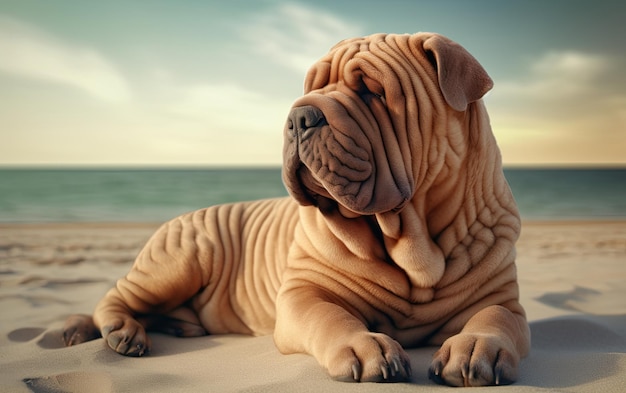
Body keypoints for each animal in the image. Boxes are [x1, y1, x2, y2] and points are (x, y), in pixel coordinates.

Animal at [63, 33, 528, 386]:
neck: (408, 242)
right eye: (309, 88)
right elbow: (332, 316)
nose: (299, 116)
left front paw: (475, 347)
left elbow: (495, 317)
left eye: (372, 91)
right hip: (180, 260)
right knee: (115, 296)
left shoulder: (504, 300)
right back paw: (120, 330)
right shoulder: (302, 293)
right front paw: (366, 346)